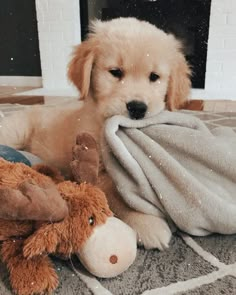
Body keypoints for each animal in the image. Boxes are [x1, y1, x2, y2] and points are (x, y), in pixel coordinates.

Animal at [0, 17, 191, 251]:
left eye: (154, 77)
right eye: (116, 72)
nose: (137, 108)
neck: (102, 122)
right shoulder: (94, 169)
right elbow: (117, 195)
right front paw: (147, 222)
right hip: (15, 132)